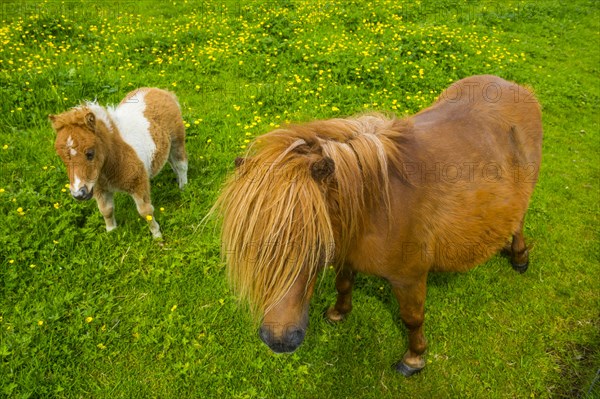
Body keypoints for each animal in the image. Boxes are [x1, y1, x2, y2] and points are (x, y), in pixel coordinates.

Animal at [51, 88, 188, 238]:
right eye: (61, 157)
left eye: (90, 153)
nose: (79, 194)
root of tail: (162, 91)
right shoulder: (99, 189)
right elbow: (106, 210)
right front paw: (111, 232)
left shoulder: (138, 183)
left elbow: (145, 211)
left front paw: (157, 236)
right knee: (171, 162)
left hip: (177, 140)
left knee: (181, 164)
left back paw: (183, 187)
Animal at [214, 74, 544, 376]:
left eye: (315, 244)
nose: (279, 340)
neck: (375, 207)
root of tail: (514, 86)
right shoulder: (346, 253)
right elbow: (344, 284)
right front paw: (338, 313)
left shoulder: (409, 278)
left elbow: (412, 317)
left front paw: (414, 358)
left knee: (519, 220)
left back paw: (519, 257)